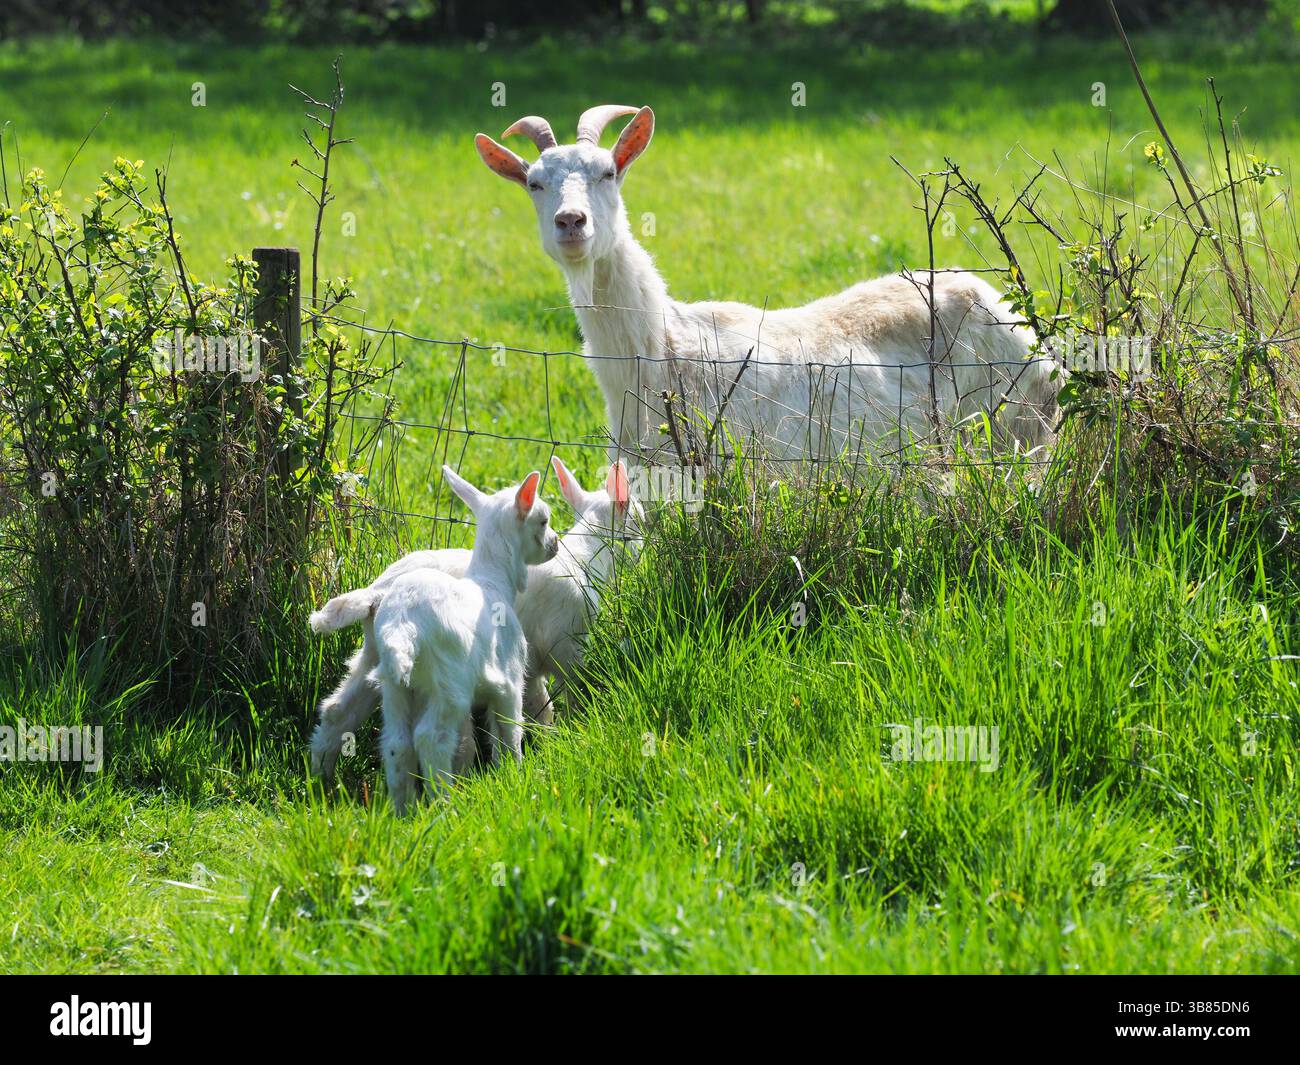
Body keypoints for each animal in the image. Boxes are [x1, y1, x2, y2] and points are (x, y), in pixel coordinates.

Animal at [475, 106, 1059, 461]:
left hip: (1016, 431)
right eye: (534, 183)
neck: (664, 348)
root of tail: (994, 301)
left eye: (608, 172)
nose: (571, 222)